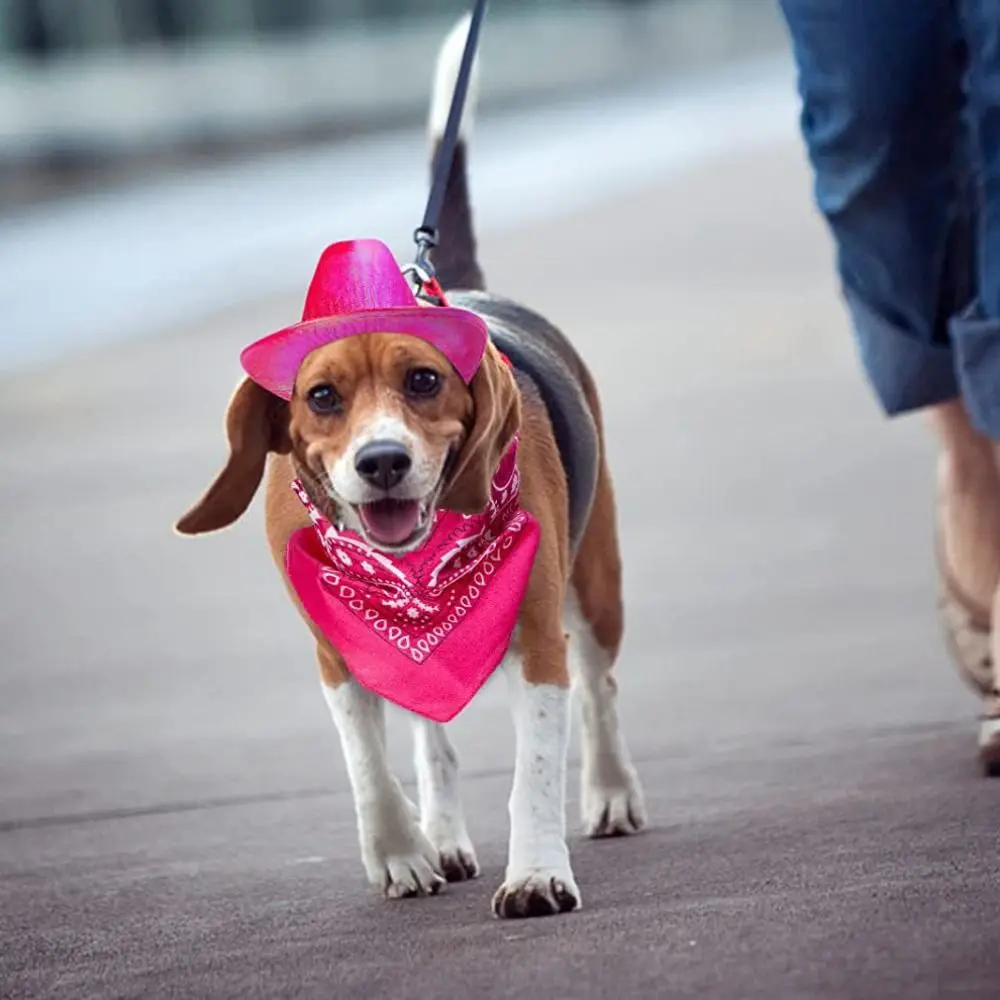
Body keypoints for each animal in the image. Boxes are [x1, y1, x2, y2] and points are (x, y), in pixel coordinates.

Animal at [175, 17, 644, 920]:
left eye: (424, 381)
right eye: (322, 396)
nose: (382, 461)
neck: (417, 567)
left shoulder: (538, 636)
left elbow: (535, 769)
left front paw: (537, 873)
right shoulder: (337, 647)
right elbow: (367, 764)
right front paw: (400, 852)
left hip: (594, 584)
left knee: (600, 691)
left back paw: (610, 792)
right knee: (432, 733)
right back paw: (444, 834)